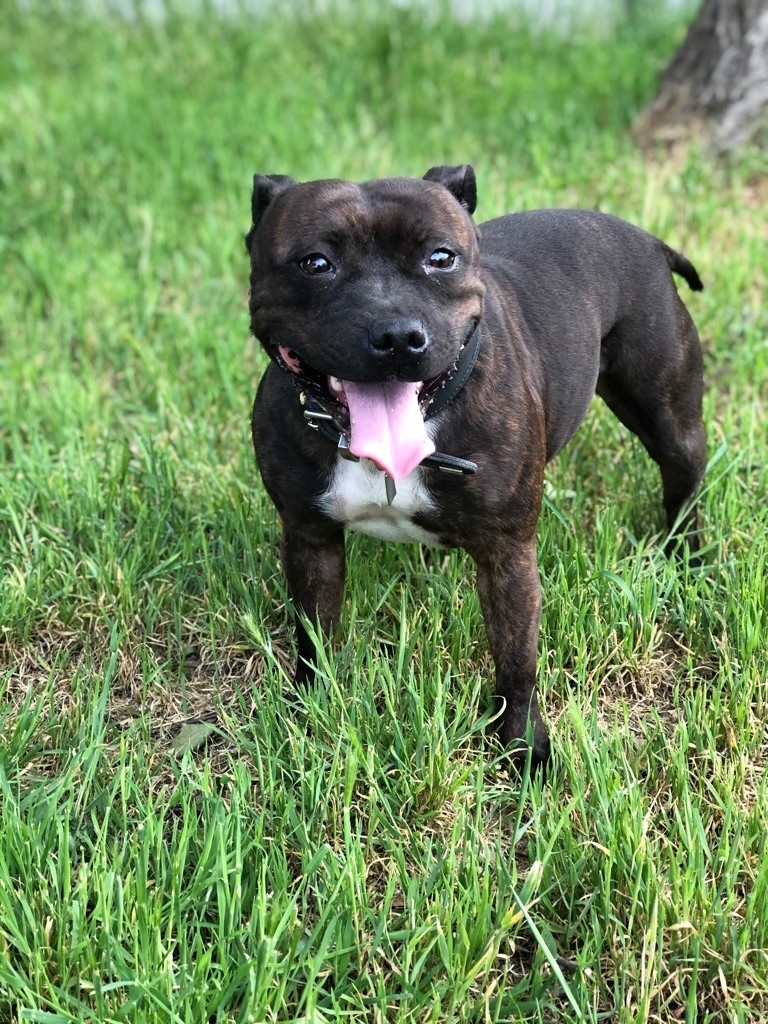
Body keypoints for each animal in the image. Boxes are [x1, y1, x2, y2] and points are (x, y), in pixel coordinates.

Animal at [243, 163, 708, 770]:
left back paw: (687, 556)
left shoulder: (507, 553)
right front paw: (308, 708)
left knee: (683, 481)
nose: (397, 335)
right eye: (314, 263)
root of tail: (644, 237)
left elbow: (516, 657)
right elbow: (313, 633)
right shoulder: (309, 536)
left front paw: (523, 744)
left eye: (441, 257)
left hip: (669, 417)